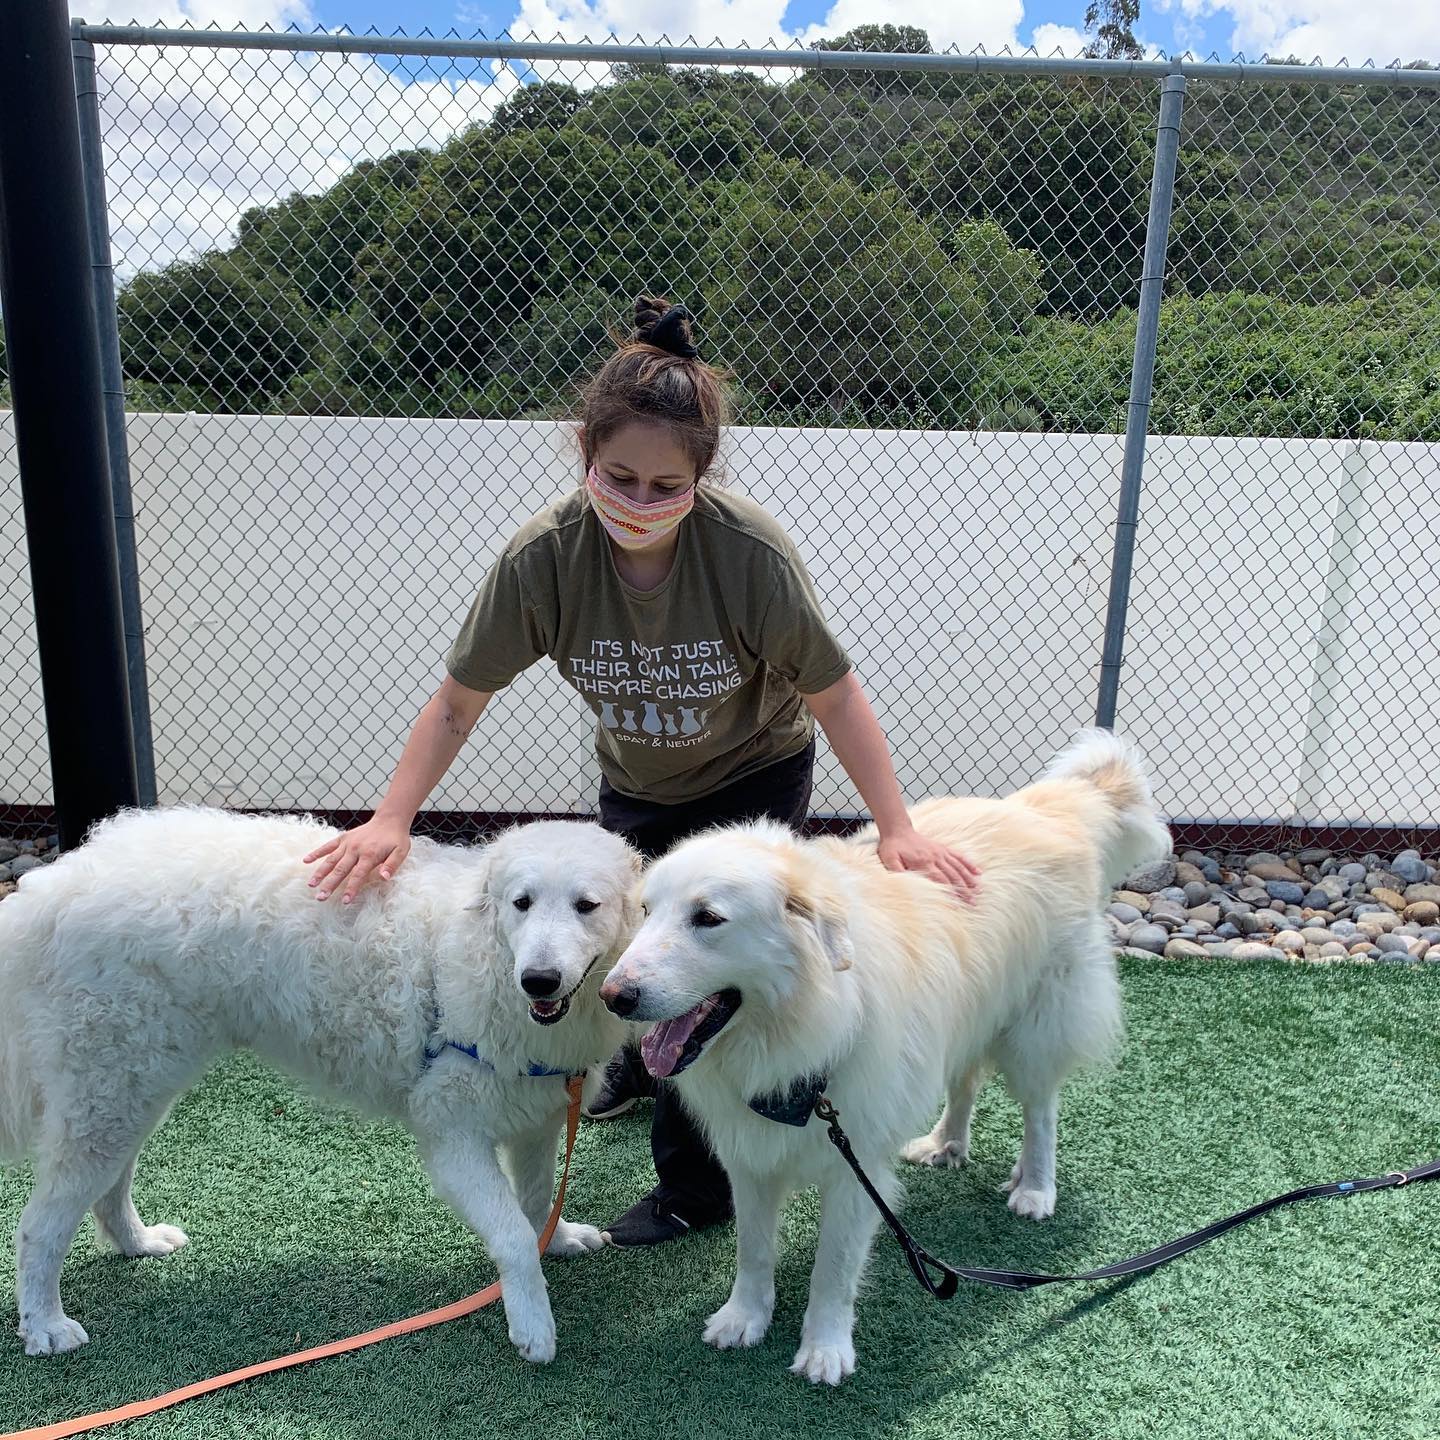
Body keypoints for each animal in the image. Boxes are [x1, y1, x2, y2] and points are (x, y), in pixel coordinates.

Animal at [0, 812, 642, 1359]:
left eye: (586, 906)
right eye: (521, 903)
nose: (540, 980)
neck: (479, 954)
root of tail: (50, 888)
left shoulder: (537, 1117)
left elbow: (536, 1201)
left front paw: (556, 1241)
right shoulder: (453, 1135)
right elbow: (510, 1232)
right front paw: (533, 1325)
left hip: (133, 1087)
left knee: (107, 1187)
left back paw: (136, 1244)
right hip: (109, 1092)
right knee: (38, 1226)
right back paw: (46, 1327)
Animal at [596, 731, 1169, 1382]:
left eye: (708, 918)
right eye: (646, 912)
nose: (612, 996)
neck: (805, 1023)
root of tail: (1049, 808)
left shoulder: (856, 1164)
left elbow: (834, 1268)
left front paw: (824, 1349)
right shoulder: (751, 1155)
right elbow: (753, 1250)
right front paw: (745, 1319)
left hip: (1034, 1028)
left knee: (1041, 1111)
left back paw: (1035, 1189)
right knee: (966, 1082)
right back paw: (946, 1143)